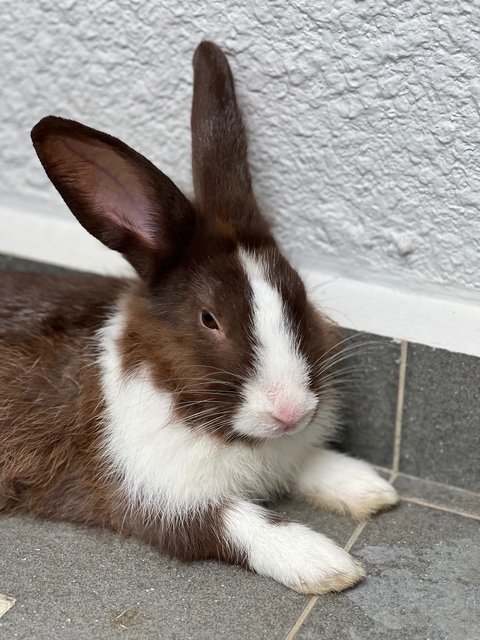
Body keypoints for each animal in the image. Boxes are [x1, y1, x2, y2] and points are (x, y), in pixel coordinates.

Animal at [0, 41, 398, 596]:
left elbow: (308, 461)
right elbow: (242, 523)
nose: (291, 411)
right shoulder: (157, 498)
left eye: (297, 293)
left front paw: (368, 487)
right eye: (208, 319)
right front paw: (326, 564)